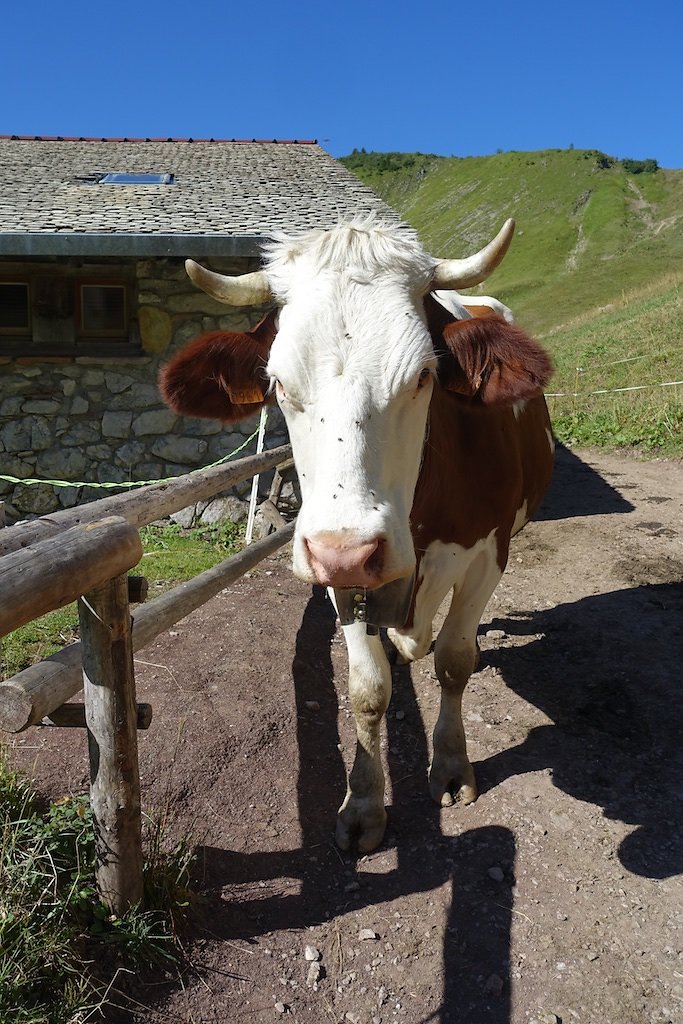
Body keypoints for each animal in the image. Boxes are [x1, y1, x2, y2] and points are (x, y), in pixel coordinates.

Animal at [160, 220, 557, 851]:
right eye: (277, 382)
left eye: (424, 375)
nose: (349, 551)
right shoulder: (337, 572)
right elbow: (368, 689)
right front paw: (364, 804)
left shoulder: (488, 553)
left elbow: (455, 660)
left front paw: (451, 767)